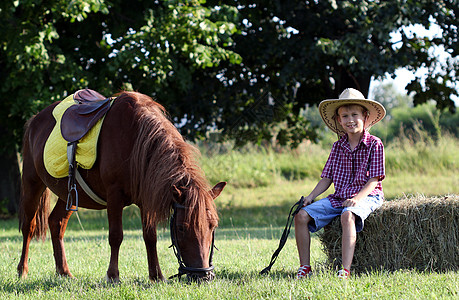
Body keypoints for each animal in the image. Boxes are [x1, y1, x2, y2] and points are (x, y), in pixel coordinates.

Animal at [18, 91, 226, 282]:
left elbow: (150, 237)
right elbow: (116, 236)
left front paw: (156, 276)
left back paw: (64, 272)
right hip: (32, 183)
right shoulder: (114, 195)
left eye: (213, 225)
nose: (203, 275)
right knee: (28, 226)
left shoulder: (146, 199)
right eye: (181, 228)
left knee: (56, 222)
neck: (136, 140)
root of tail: (34, 121)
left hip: (69, 193)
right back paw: (22, 270)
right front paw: (113, 275)